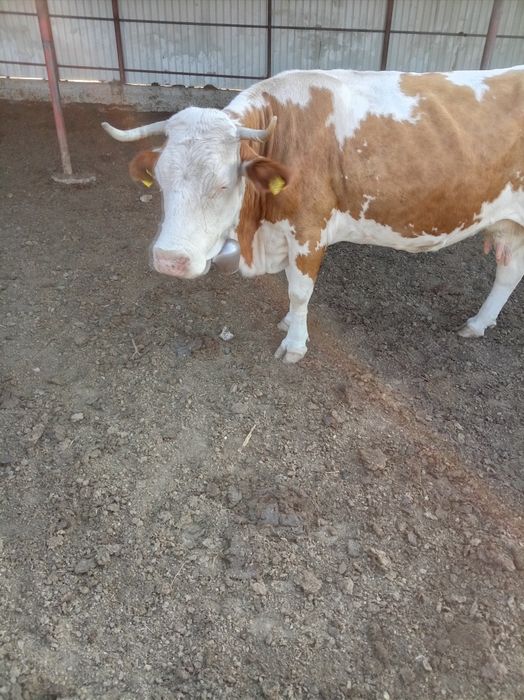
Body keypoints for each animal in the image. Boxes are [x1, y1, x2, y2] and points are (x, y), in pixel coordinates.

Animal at [102, 65, 524, 363]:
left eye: (223, 184)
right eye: (160, 180)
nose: (168, 260)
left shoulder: (309, 230)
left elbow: (299, 290)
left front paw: (295, 343)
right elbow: (292, 287)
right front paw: (291, 323)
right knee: (508, 274)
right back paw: (478, 324)